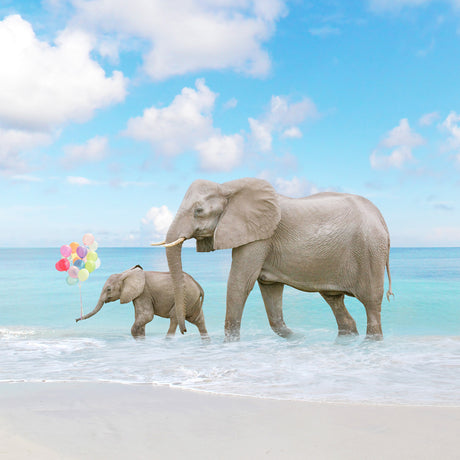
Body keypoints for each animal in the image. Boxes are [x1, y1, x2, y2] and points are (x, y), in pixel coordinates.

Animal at [76, 266, 208, 338]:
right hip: (193, 300)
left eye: (108, 289)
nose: (76, 320)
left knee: (174, 317)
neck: (125, 274)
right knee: (198, 320)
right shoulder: (138, 295)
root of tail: (198, 285)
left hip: (186, 297)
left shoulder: (144, 293)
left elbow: (147, 316)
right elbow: (142, 319)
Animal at [154, 178, 392, 340]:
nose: (184, 331)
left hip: (370, 251)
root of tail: (381, 217)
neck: (227, 186)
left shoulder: (260, 236)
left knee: (371, 303)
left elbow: (240, 283)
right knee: (334, 300)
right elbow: (270, 290)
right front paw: (298, 338)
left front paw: (230, 344)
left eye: (199, 211)